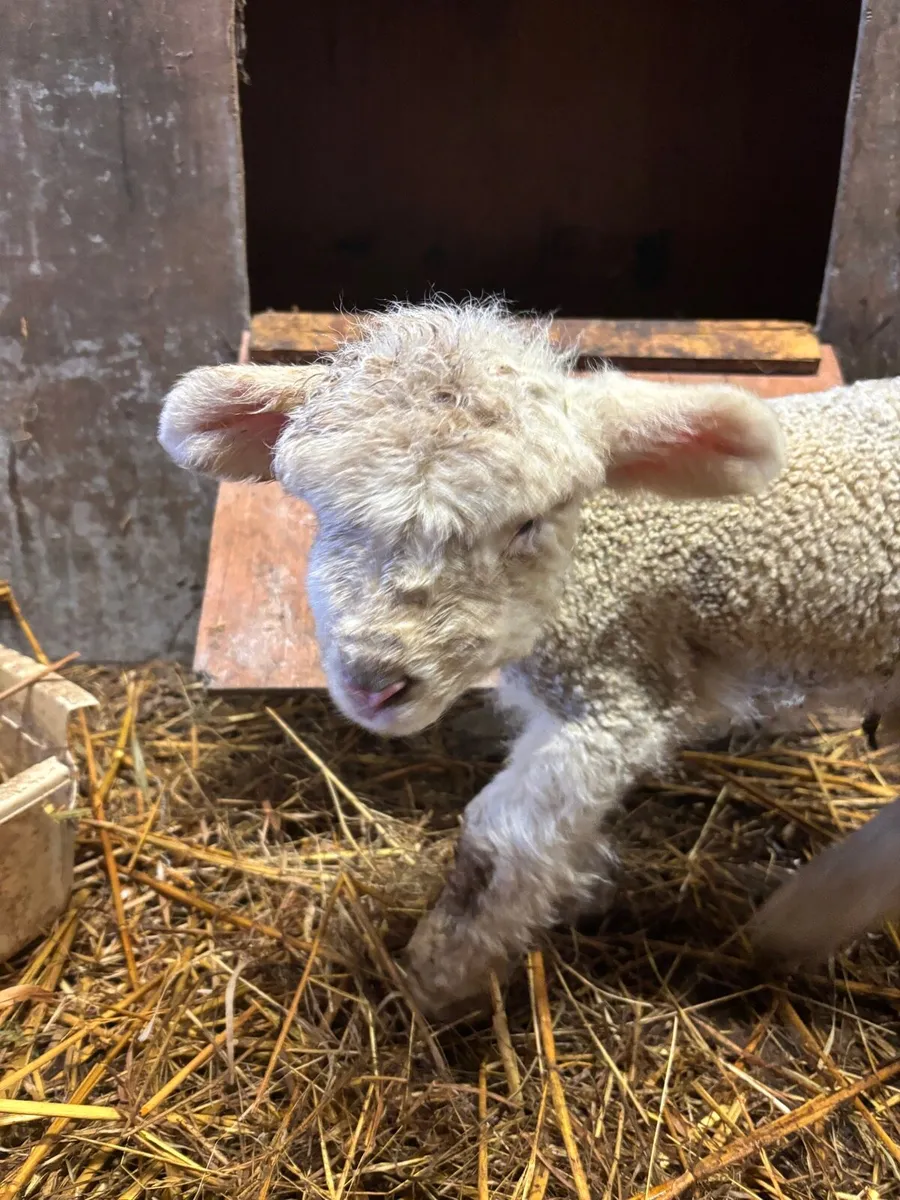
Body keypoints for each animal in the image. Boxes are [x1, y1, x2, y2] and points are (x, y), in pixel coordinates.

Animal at [159, 298, 900, 1017]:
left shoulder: (616, 698)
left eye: (527, 524)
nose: (375, 681)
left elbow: (497, 839)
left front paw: (439, 978)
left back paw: (792, 923)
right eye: (322, 511)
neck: (596, 552)